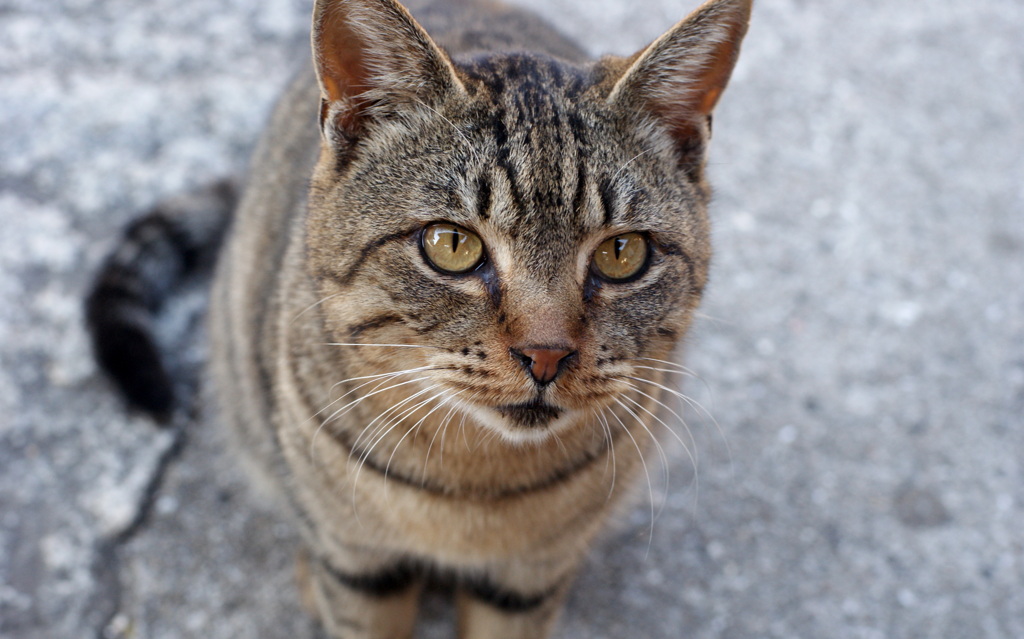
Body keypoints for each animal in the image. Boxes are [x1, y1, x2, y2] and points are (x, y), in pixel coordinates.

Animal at [86, 0, 753, 634]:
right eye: (451, 245)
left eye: (622, 253)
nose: (546, 354)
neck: (473, 487)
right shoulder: (357, 562)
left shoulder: (527, 579)